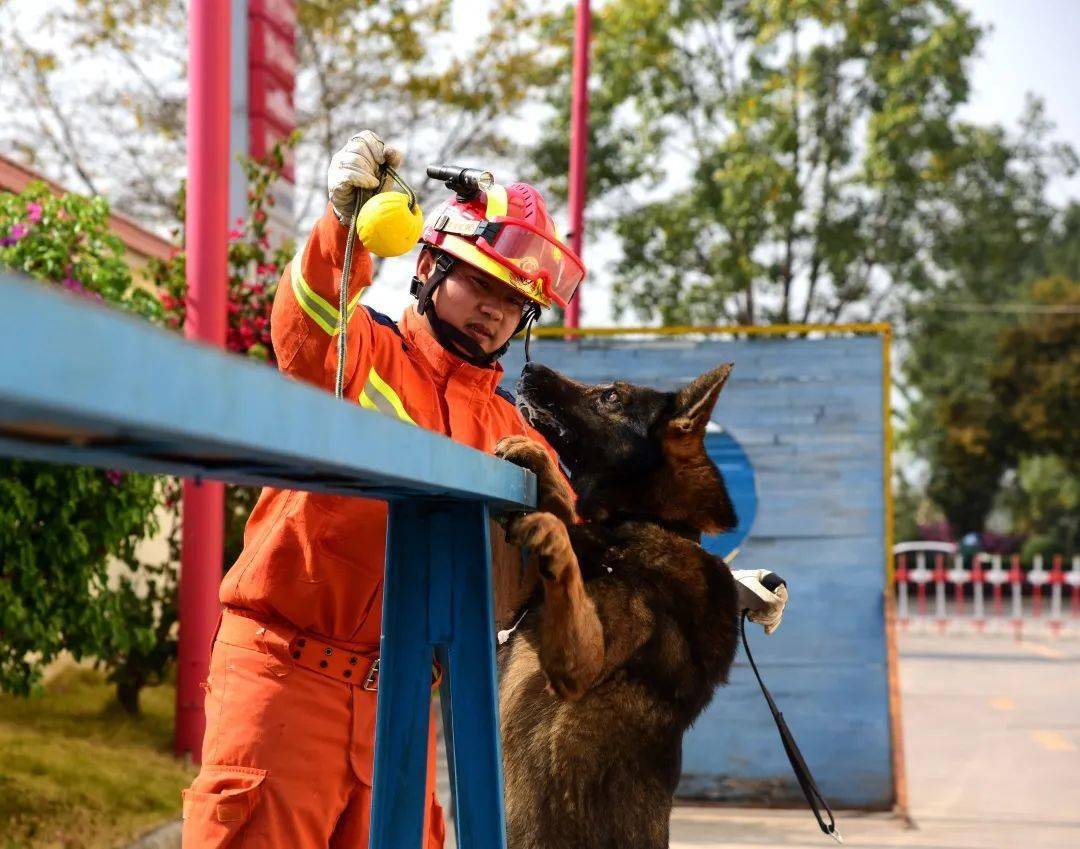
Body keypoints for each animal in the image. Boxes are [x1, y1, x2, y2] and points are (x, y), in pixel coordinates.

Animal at [494, 358, 743, 846]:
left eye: (611, 396)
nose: (530, 365)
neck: (650, 522)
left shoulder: (575, 667)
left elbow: (565, 547)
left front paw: (552, 533)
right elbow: (567, 510)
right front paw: (538, 465)